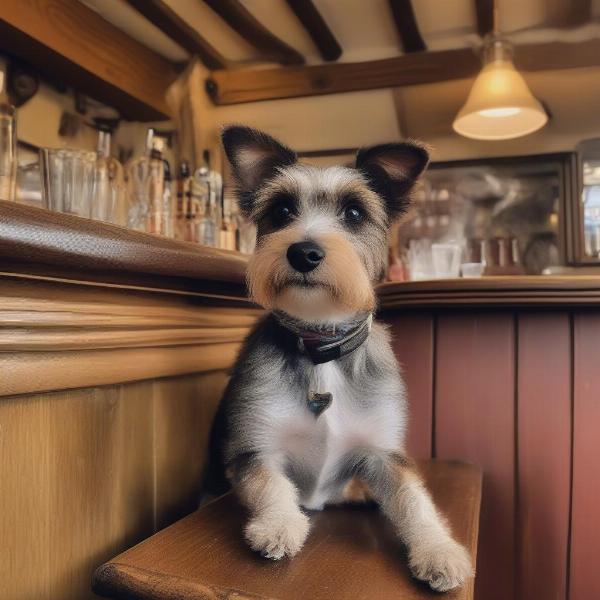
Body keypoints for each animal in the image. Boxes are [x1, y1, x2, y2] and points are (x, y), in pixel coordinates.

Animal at [209, 125, 476, 592]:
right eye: (281, 210)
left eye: (354, 213)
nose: (304, 252)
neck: (321, 351)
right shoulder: (254, 446)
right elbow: (268, 482)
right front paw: (279, 525)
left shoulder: (385, 453)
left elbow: (415, 499)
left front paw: (438, 550)